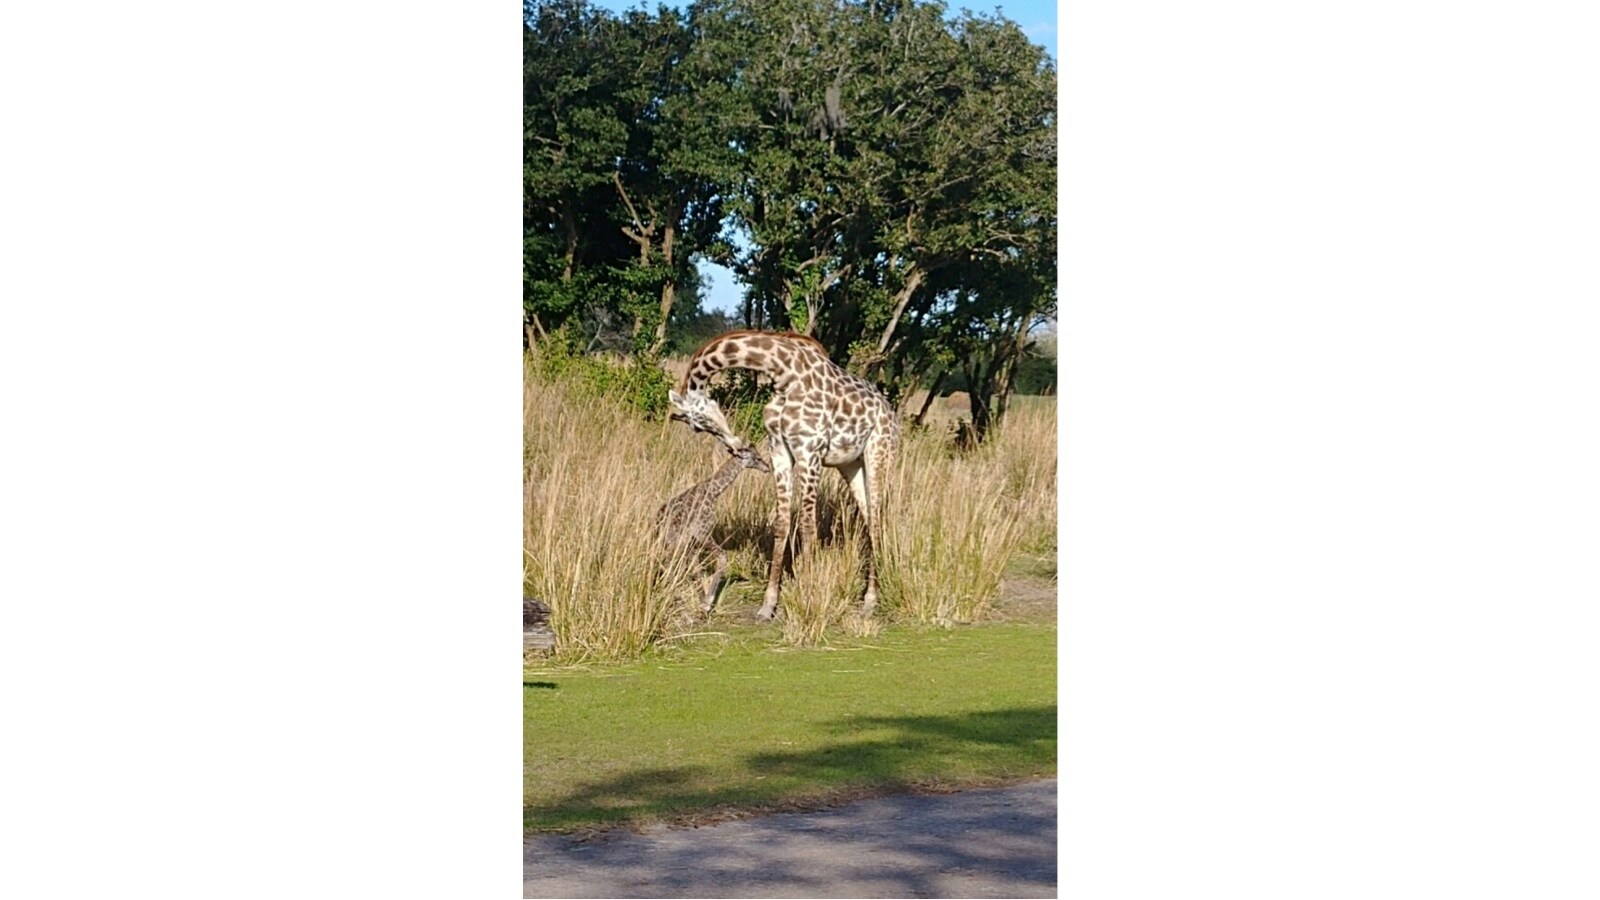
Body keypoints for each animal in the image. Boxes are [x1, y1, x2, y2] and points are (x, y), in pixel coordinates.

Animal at [656, 444, 771, 614]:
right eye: (758, 458)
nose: (767, 468)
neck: (714, 491)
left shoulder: (694, 540)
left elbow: (697, 567)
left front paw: (702, 599)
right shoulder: (702, 533)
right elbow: (721, 557)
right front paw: (708, 602)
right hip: (677, 541)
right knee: (668, 562)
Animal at [669, 330, 900, 621]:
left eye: (696, 426)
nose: (734, 445)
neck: (783, 373)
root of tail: (892, 414)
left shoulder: (810, 451)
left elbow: (808, 526)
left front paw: (808, 595)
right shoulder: (779, 450)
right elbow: (781, 525)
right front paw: (768, 606)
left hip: (879, 454)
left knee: (878, 521)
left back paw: (870, 602)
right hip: (851, 466)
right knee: (869, 520)